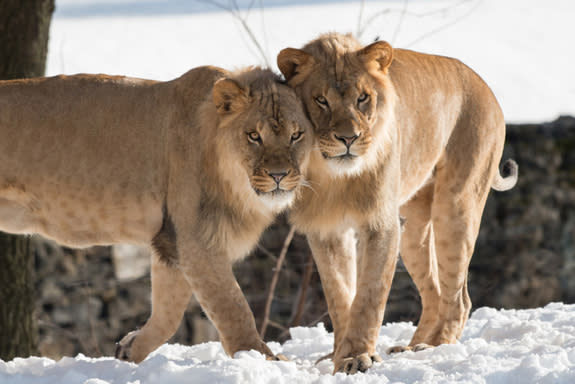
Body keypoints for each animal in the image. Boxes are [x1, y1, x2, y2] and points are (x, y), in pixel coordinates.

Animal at [0, 66, 316, 364]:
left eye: (296, 135)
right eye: (254, 136)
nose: (279, 175)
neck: (237, 186)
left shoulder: (171, 240)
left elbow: (169, 312)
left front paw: (129, 349)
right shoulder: (196, 239)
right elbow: (232, 306)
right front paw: (261, 358)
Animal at [276, 33, 520, 376]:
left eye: (363, 98)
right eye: (321, 100)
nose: (348, 139)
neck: (335, 178)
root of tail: (484, 85)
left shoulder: (380, 223)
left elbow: (369, 294)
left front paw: (358, 357)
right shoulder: (326, 229)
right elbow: (340, 295)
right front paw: (340, 355)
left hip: (456, 204)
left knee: (459, 298)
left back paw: (434, 346)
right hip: (414, 230)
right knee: (434, 292)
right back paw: (410, 346)